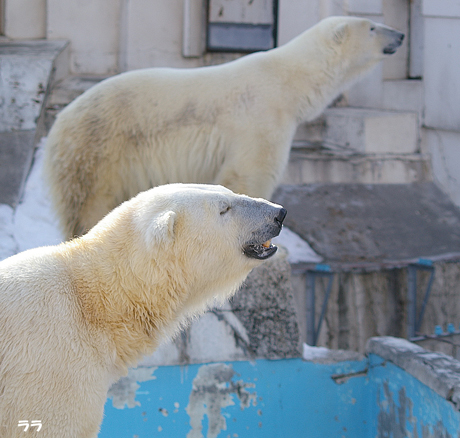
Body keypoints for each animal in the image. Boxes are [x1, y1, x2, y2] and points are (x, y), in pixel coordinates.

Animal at [43, 15, 402, 238]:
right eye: (373, 27)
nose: (400, 34)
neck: (291, 82)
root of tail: (58, 123)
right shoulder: (262, 116)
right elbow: (250, 172)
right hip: (98, 150)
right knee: (88, 201)